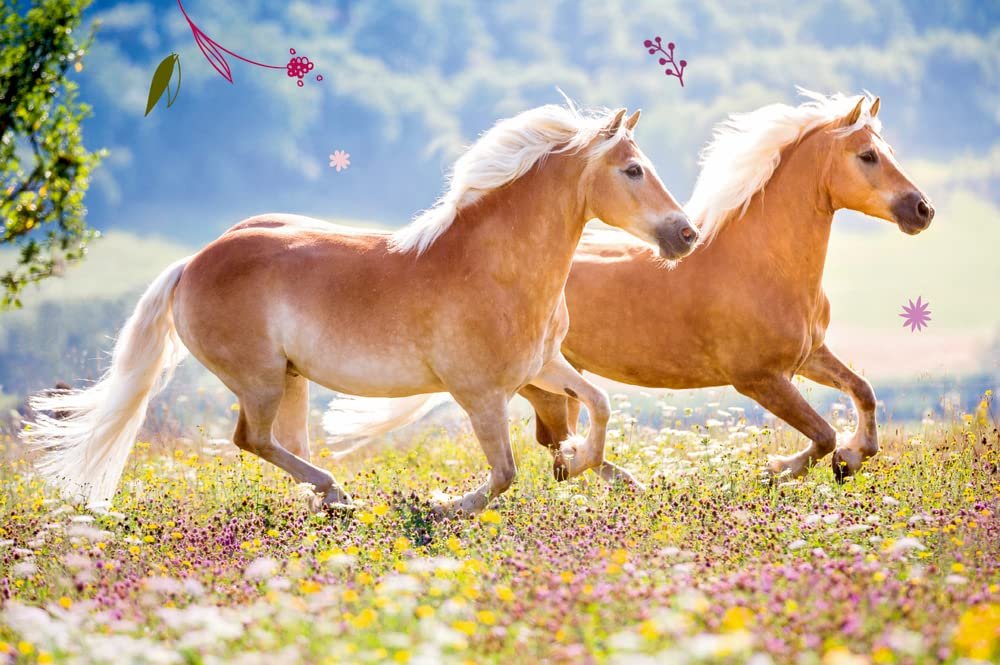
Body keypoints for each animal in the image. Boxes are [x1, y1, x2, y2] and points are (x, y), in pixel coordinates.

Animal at [24, 103, 698, 513]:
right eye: (633, 170)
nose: (686, 235)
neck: (494, 266)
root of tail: (192, 262)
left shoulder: (542, 367)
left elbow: (599, 405)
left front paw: (583, 464)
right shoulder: (479, 393)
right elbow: (505, 472)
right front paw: (444, 506)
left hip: (290, 380)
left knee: (280, 442)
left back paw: (326, 500)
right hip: (259, 379)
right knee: (250, 438)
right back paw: (335, 493)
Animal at [520, 90, 935, 482]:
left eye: (889, 152)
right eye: (867, 156)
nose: (923, 210)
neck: (764, 266)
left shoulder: (808, 356)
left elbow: (864, 391)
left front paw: (849, 459)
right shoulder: (759, 380)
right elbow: (823, 434)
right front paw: (780, 469)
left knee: (559, 441)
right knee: (558, 443)